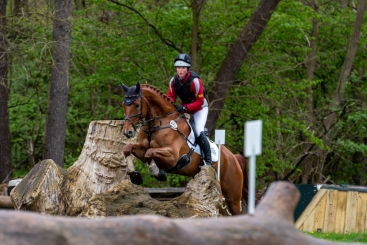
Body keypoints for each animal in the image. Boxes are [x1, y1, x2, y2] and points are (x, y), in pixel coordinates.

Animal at [121, 82, 250, 214]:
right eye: (123, 105)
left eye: (137, 105)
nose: (127, 132)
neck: (158, 123)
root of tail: (234, 157)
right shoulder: (142, 148)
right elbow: (128, 148)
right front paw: (134, 175)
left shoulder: (172, 157)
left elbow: (150, 153)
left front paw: (157, 172)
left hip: (232, 197)